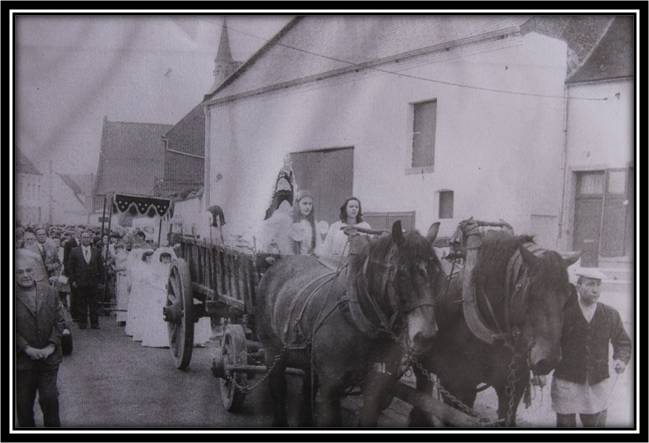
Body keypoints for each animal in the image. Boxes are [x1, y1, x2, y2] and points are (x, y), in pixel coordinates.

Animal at [256, 221, 442, 426]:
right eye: (401, 273)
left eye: (437, 273)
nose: (426, 336)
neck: (356, 320)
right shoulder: (330, 386)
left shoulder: (376, 387)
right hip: (272, 351)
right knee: (278, 389)